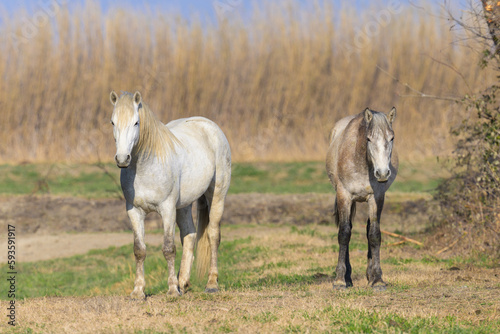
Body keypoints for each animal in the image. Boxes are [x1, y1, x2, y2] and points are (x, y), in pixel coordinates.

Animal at [109, 90, 230, 298]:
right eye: (113, 122)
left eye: (136, 122)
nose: (123, 159)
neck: (146, 167)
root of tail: (209, 125)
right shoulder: (134, 211)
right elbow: (139, 250)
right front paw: (138, 292)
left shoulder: (167, 209)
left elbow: (168, 248)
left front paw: (172, 290)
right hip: (184, 206)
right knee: (189, 235)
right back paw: (183, 282)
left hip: (217, 195)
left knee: (213, 235)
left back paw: (211, 284)